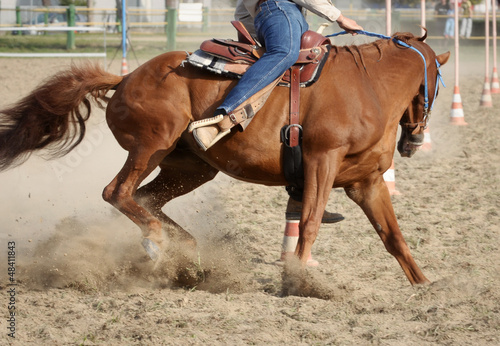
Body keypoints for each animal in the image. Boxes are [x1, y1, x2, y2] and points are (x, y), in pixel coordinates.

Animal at [0, 31, 450, 284]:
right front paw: (300, 279)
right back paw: (158, 243)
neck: (369, 89)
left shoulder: (366, 183)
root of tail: (126, 77)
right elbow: (309, 223)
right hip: (151, 146)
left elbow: (393, 236)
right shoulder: (322, 162)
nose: (414, 141)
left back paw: (184, 250)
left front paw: (425, 284)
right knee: (118, 192)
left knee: (145, 198)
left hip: (190, 168)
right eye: (437, 83)